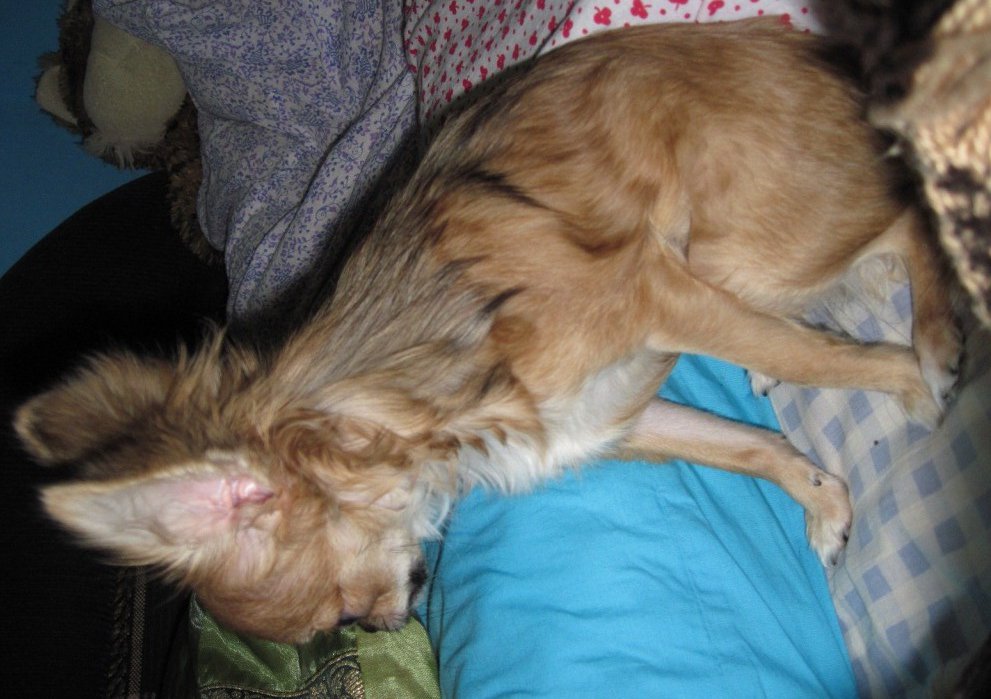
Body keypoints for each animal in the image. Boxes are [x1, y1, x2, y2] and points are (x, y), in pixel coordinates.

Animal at [15, 19, 960, 643]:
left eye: (337, 614)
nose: (385, 624)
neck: (413, 419)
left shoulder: (659, 297)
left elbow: (823, 359)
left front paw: (910, 386)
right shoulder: (606, 418)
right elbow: (747, 445)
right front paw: (824, 497)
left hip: (751, 239)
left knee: (903, 215)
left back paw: (933, 340)